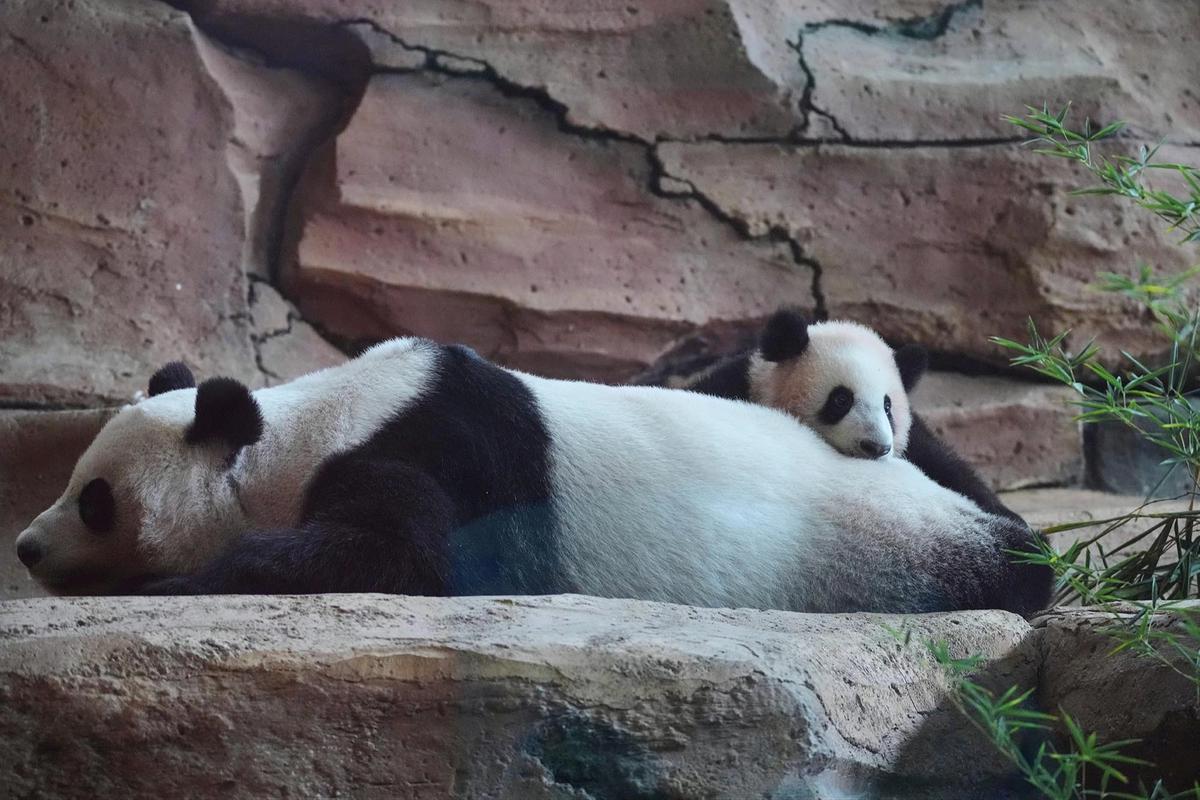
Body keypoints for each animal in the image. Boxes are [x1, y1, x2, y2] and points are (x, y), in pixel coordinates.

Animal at [14, 337, 1050, 616]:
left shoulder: (441, 452)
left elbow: (402, 559)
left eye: (94, 499)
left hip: (883, 545)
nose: (24, 546)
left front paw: (173, 581)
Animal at [685, 308, 1019, 520]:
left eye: (888, 406)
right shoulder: (734, 383)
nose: (876, 448)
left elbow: (949, 465)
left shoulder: (917, 442)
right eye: (840, 399)